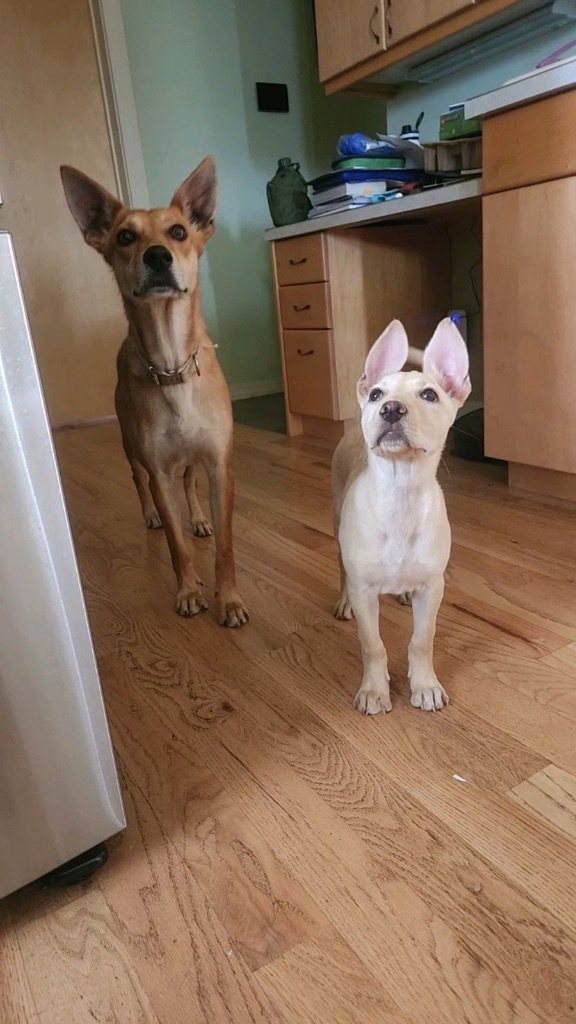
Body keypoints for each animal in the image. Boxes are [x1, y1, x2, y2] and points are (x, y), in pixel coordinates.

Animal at [60, 157, 247, 622]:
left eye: (178, 231)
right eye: (125, 236)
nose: (157, 255)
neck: (171, 363)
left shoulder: (219, 464)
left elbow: (225, 545)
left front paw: (229, 598)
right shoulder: (159, 470)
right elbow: (176, 546)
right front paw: (188, 591)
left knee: (190, 482)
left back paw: (197, 518)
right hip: (130, 444)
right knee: (138, 478)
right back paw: (152, 516)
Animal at [330, 317, 469, 712]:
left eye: (430, 395)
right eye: (377, 394)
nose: (390, 408)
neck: (399, 494)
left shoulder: (433, 589)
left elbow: (422, 640)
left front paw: (425, 686)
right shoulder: (365, 593)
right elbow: (372, 646)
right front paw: (374, 691)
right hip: (337, 522)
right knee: (342, 568)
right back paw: (342, 601)